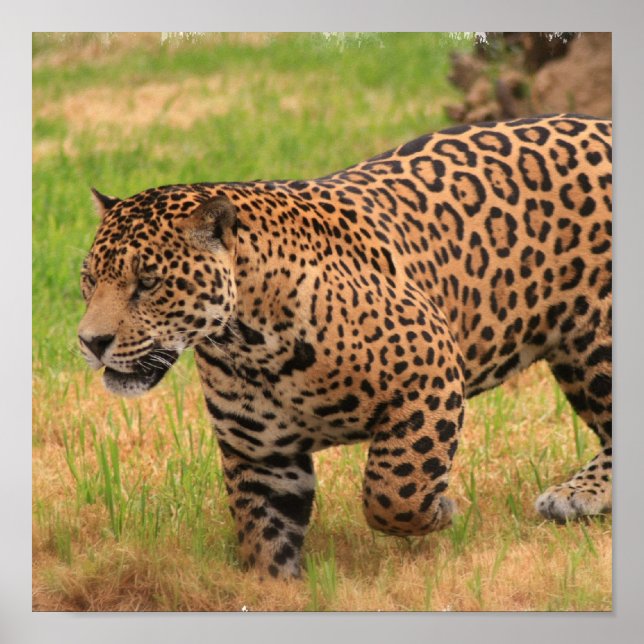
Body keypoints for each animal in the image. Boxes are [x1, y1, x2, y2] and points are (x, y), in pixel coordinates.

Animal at [78, 113, 612, 580]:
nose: (90, 341)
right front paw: (277, 588)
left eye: (148, 283)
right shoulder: (261, 455)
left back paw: (578, 495)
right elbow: (264, 537)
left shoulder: (431, 375)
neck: (249, 343)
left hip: (597, 343)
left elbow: (393, 489)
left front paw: (441, 511)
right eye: (89, 280)